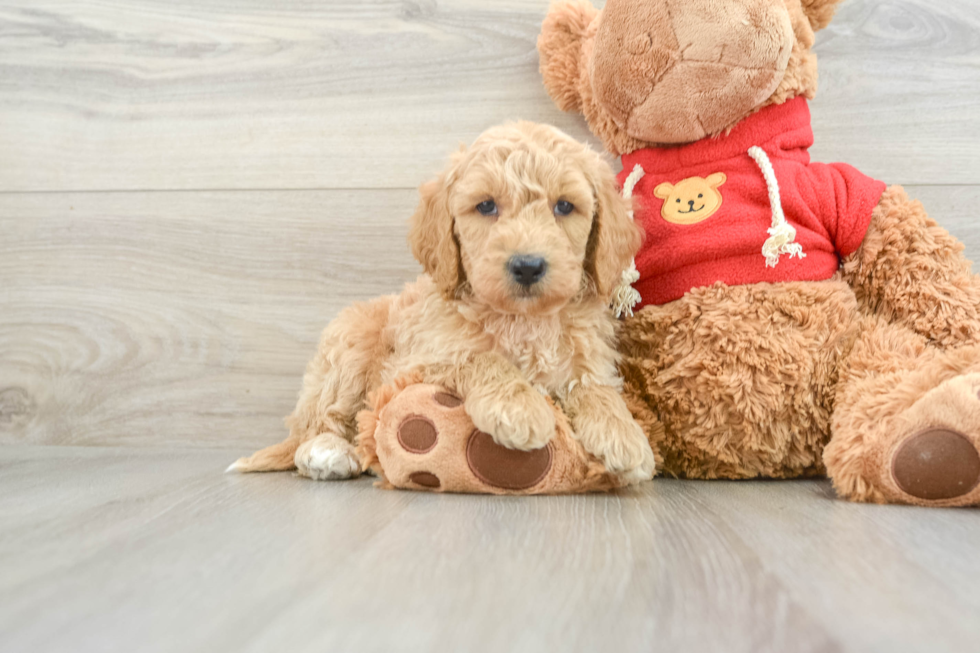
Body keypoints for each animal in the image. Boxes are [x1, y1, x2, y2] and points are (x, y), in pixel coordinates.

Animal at [232, 121, 660, 484]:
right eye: (486, 206)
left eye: (564, 206)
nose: (527, 266)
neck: (524, 320)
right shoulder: (417, 361)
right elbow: (477, 357)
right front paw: (520, 408)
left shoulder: (587, 356)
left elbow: (594, 385)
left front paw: (624, 434)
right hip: (350, 344)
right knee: (317, 423)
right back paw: (328, 452)